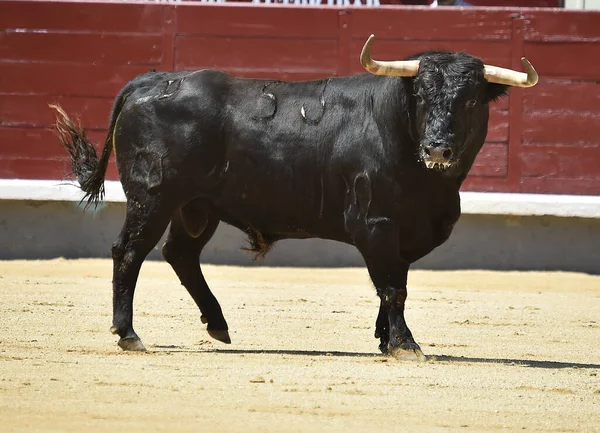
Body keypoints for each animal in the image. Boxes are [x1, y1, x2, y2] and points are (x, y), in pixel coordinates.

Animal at [52, 35, 540, 358]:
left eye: (472, 100)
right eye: (420, 94)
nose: (437, 148)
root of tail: (151, 82)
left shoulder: (402, 234)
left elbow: (391, 285)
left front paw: (386, 340)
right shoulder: (377, 224)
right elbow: (393, 287)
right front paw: (405, 345)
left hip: (196, 206)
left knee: (181, 254)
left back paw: (218, 325)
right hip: (153, 196)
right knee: (130, 252)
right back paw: (129, 334)